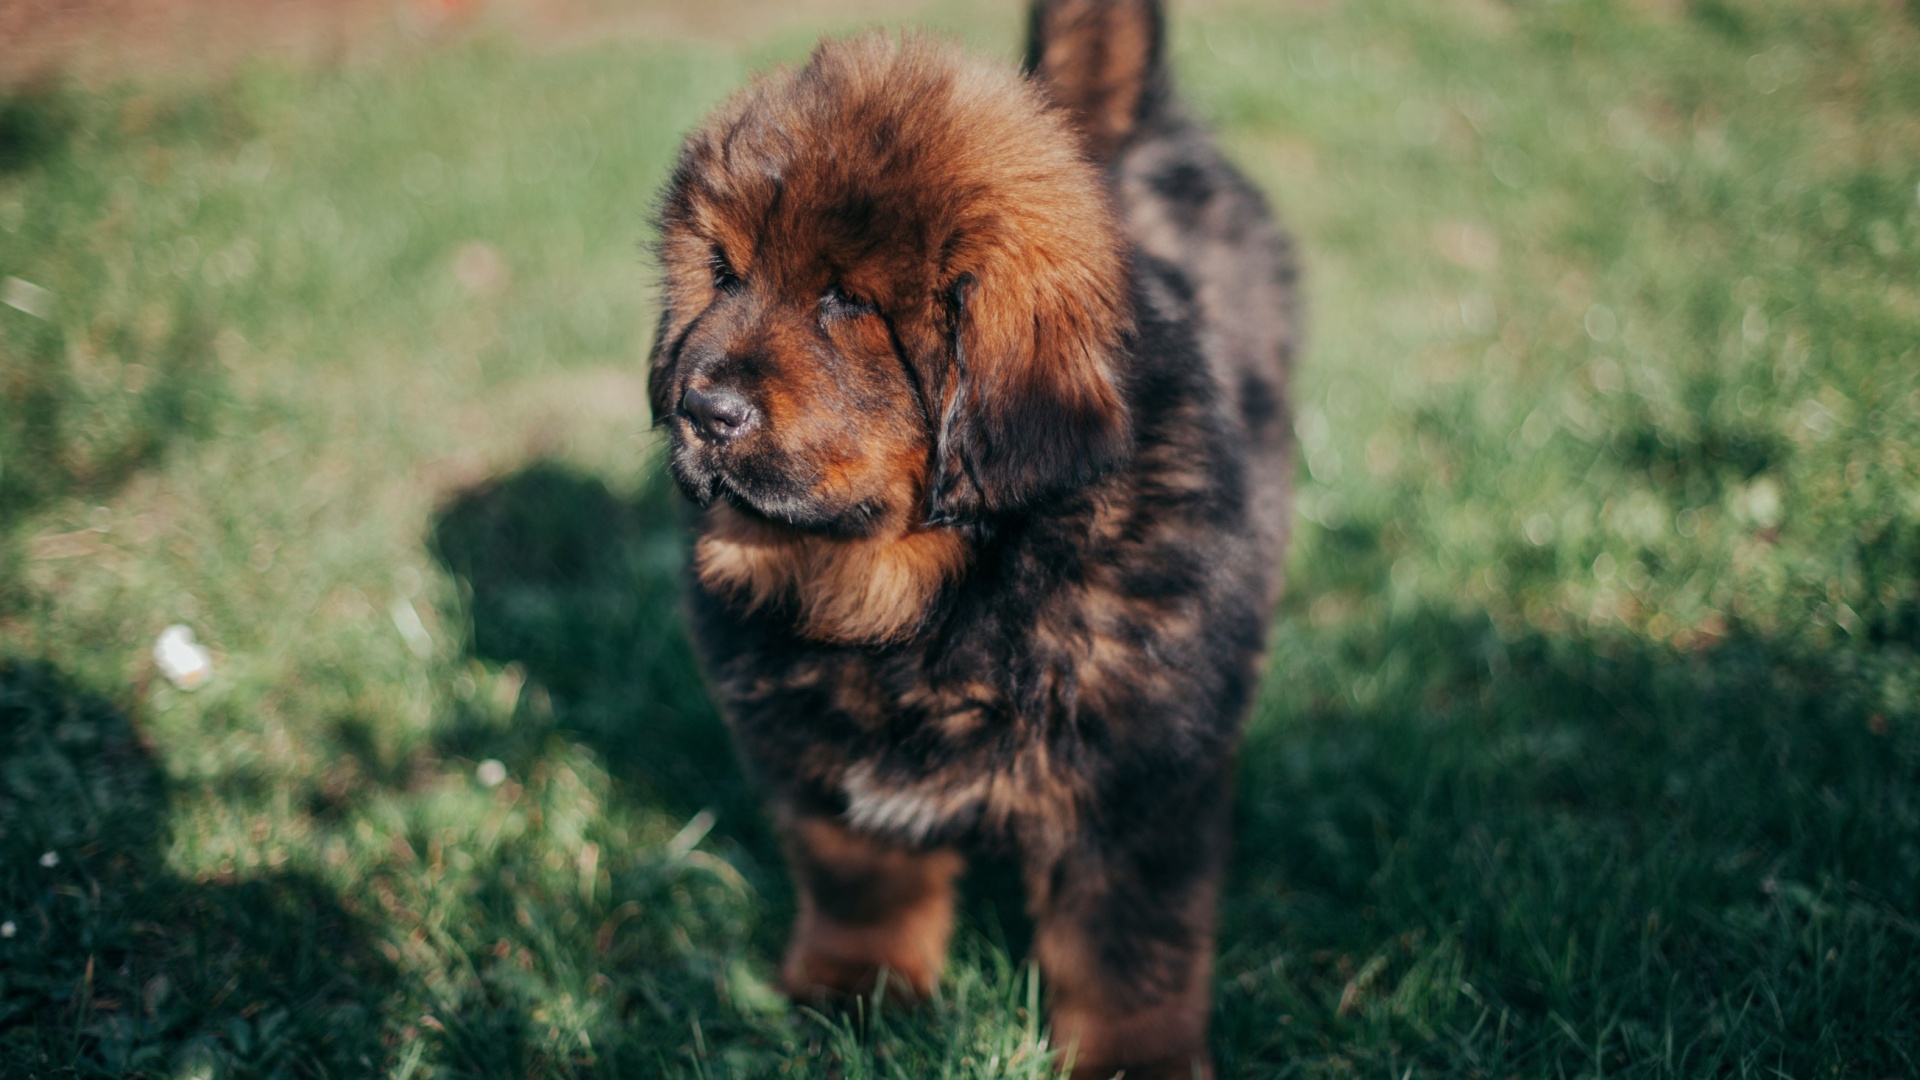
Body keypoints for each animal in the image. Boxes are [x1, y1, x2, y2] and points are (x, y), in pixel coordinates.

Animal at [652, 4, 1297, 1068]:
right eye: (723, 275)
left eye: (846, 301)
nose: (700, 409)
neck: (931, 600)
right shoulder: (828, 760)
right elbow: (862, 883)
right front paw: (856, 995)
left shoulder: (1137, 781)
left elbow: (1127, 950)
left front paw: (1136, 1059)